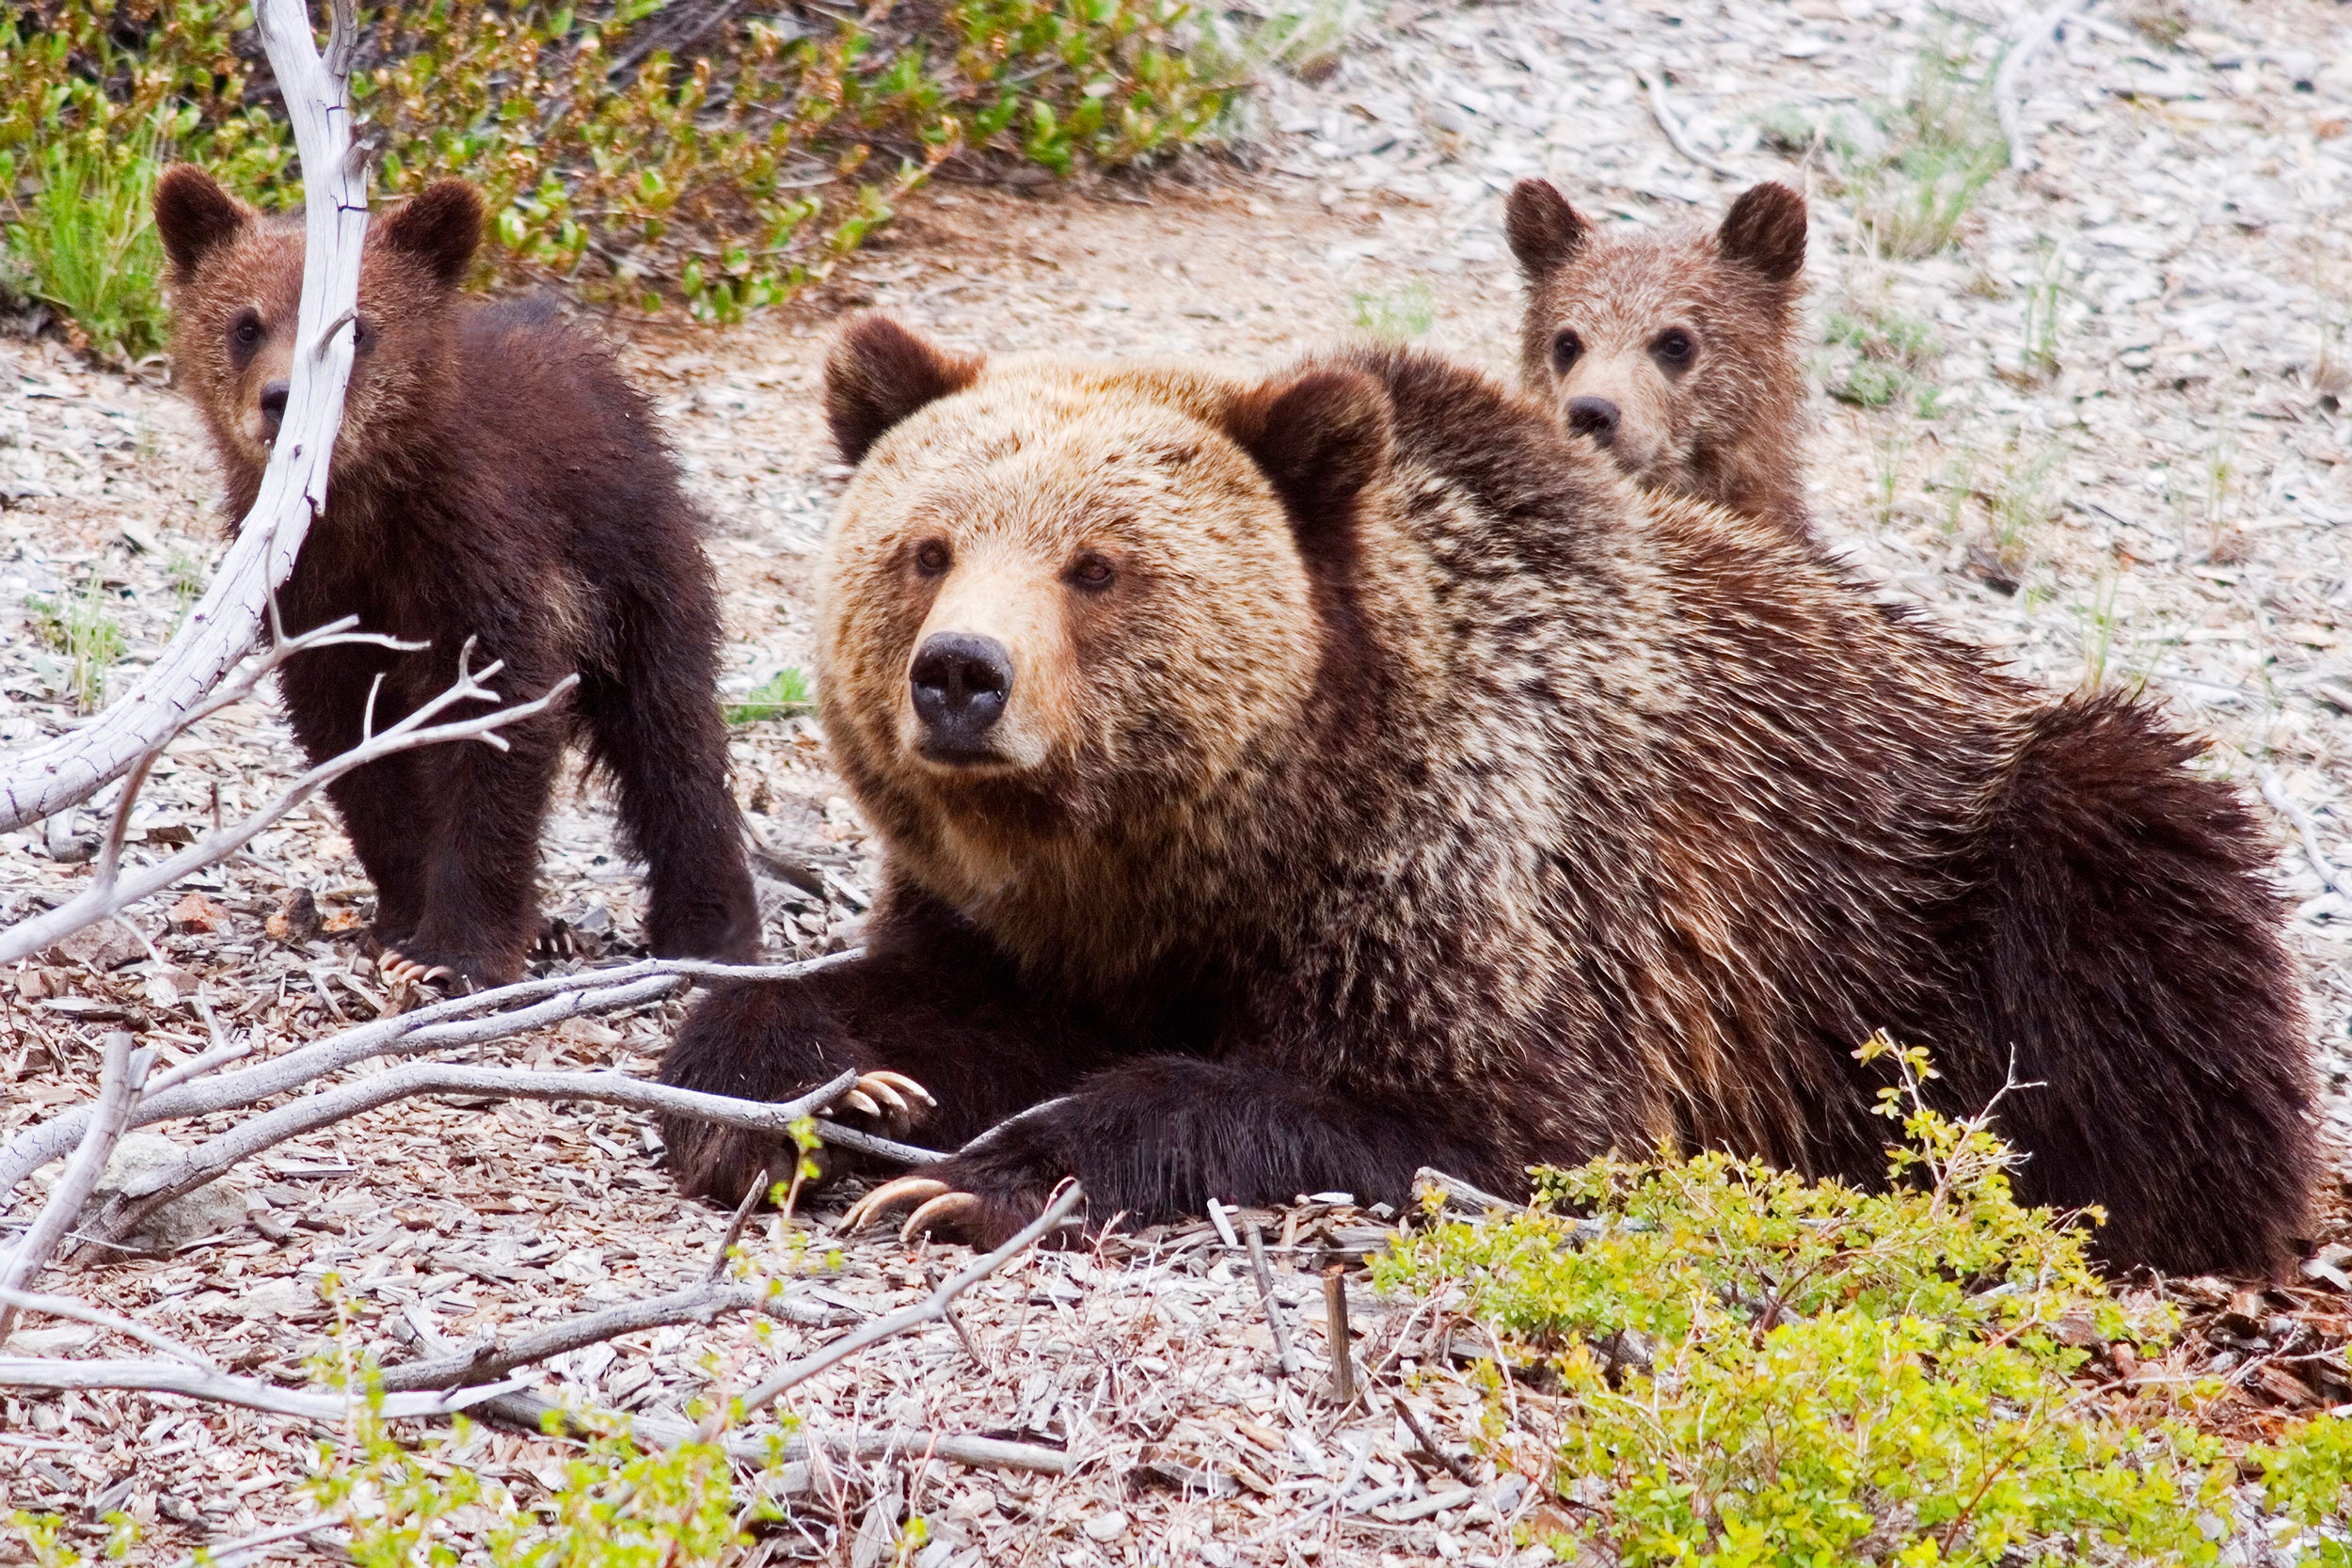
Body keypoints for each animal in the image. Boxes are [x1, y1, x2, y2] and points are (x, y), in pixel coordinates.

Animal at [153, 168, 753, 982]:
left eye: (357, 329)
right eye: (245, 324)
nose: (282, 401)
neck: (365, 507)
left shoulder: (478, 556)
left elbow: (497, 724)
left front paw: (457, 949)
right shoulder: (315, 590)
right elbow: (352, 739)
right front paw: (402, 915)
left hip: (634, 563)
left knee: (669, 732)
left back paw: (710, 925)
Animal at [654, 314, 2305, 1278]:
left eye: (1097, 564)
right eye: (927, 545)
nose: (961, 676)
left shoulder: (1493, 879)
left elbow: (1472, 1122)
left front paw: (983, 1173)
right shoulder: (1038, 922)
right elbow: (916, 1000)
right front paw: (819, 1090)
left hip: (1970, 852)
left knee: (2142, 925)